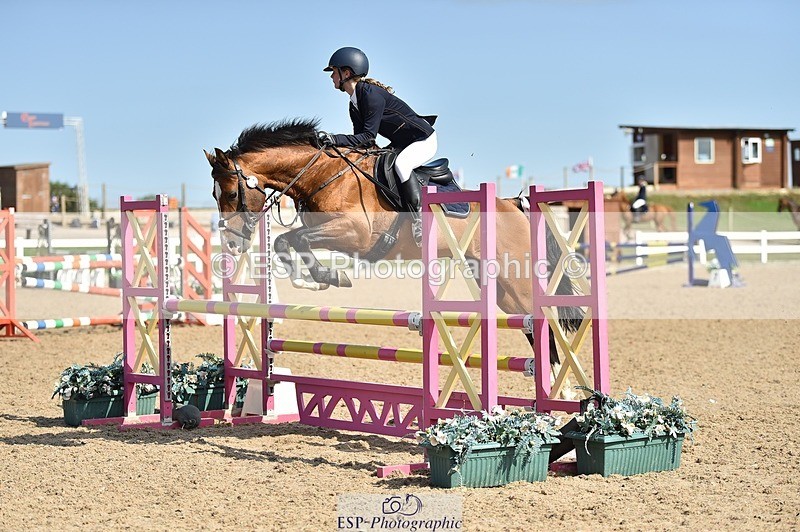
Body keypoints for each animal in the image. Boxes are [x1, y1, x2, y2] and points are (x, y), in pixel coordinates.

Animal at [204, 118, 583, 367]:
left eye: (233, 193)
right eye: (214, 194)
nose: (232, 243)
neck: (321, 173)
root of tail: (515, 205)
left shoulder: (354, 234)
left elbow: (293, 239)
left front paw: (327, 277)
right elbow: (287, 242)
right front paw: (313, 280)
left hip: (516, 280)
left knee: (545, 322)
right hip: (501, 288)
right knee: (532, 327)